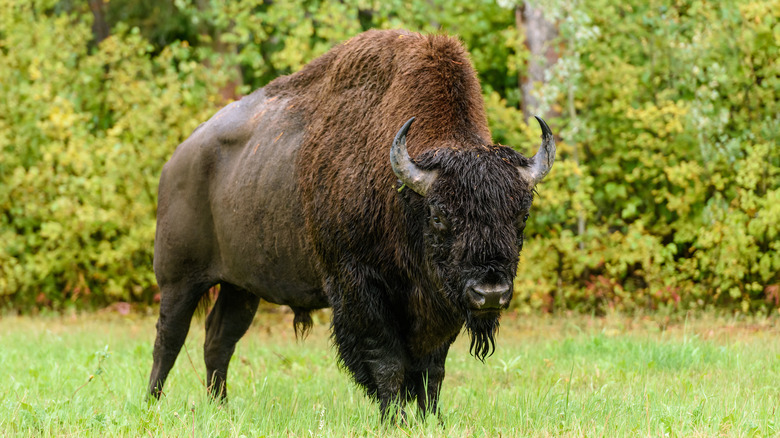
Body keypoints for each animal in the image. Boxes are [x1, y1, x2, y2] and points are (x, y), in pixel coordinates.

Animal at [148, 29, 556, 418]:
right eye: (439, 215)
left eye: (521, 215)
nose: (491, 293)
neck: (405, 196)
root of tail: (177, 159)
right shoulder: (360, 287)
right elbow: (388, 362)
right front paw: (395, 419)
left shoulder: (442, 303)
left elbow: (432, 370)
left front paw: (432, 419)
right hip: (179, 280)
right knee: (169, 339)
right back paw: (153, 405)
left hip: (241, 287)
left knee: (219, 339)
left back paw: (221, 406)